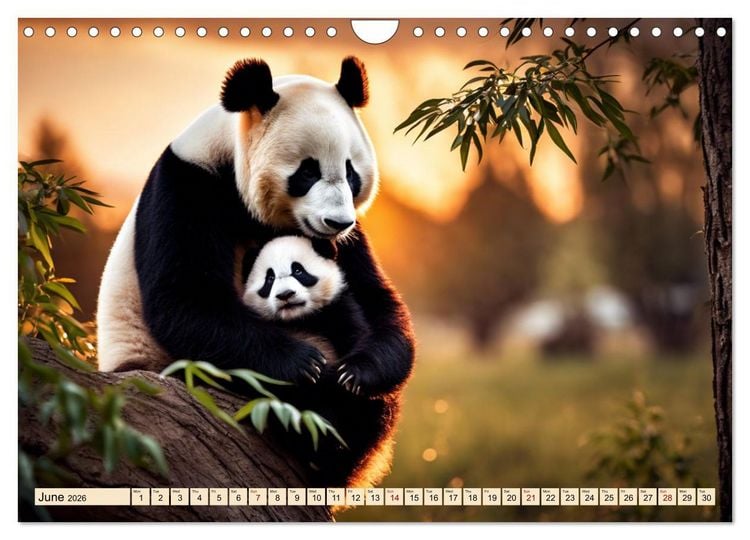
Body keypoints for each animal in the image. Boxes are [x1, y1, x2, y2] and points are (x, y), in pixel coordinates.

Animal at [96, 57, 415, 487]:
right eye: (307, 172)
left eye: (351, 173)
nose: (337, 222)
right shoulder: (187, 188)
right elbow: (186, 302)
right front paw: (303, 364)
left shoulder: (347, 241)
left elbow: (374, 298)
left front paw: (357, 372)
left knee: (377, 406)